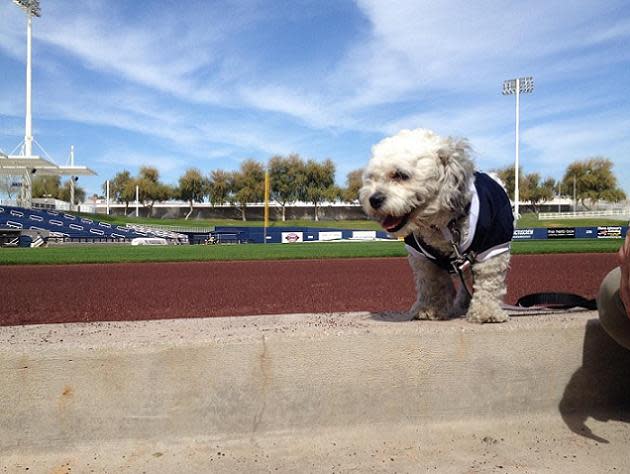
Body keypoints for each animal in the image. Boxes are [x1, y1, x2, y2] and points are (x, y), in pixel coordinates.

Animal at [362, 128, 516, 324]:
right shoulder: (421, 256)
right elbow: (431, 283)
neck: (441, 224)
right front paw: (430, 309)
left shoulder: (493, 246)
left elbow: (488, 281)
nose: (374, 199)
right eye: (372, 178)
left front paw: (486, 311)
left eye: (401, 175)